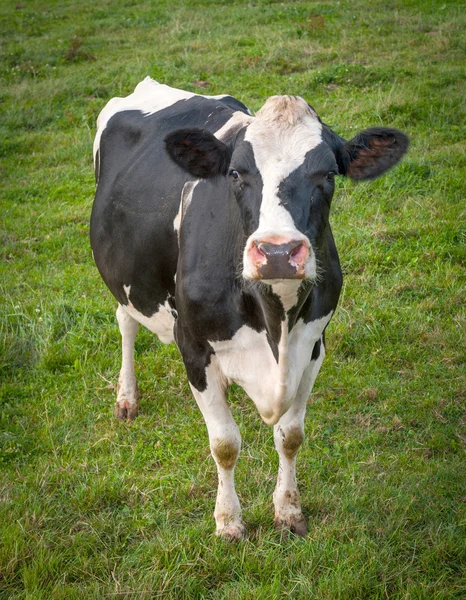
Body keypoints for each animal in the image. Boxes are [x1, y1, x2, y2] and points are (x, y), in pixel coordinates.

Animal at [91, 76, 408, 540]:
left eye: (329, 174)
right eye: (237, 173)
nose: (277, 252)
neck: (275, 323)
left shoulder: (313, 344)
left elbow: (290, 435)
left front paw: (289, 511)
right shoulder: (194, 347)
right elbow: (225, 443)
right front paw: (228, 522)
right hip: (124, 276)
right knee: (125, 322)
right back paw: (126, 398)